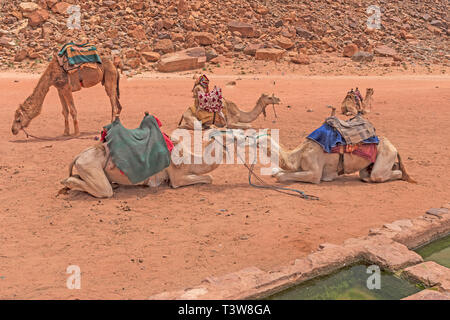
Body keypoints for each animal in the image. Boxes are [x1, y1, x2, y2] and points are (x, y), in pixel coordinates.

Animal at [258, 131, 416, 185]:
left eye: (256, 139)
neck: (299, 153)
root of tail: (394, 147)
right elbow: (279, 172)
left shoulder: (314, 172)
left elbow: (281, 176)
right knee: (367, 173)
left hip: (385, 155)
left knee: (379, 175)